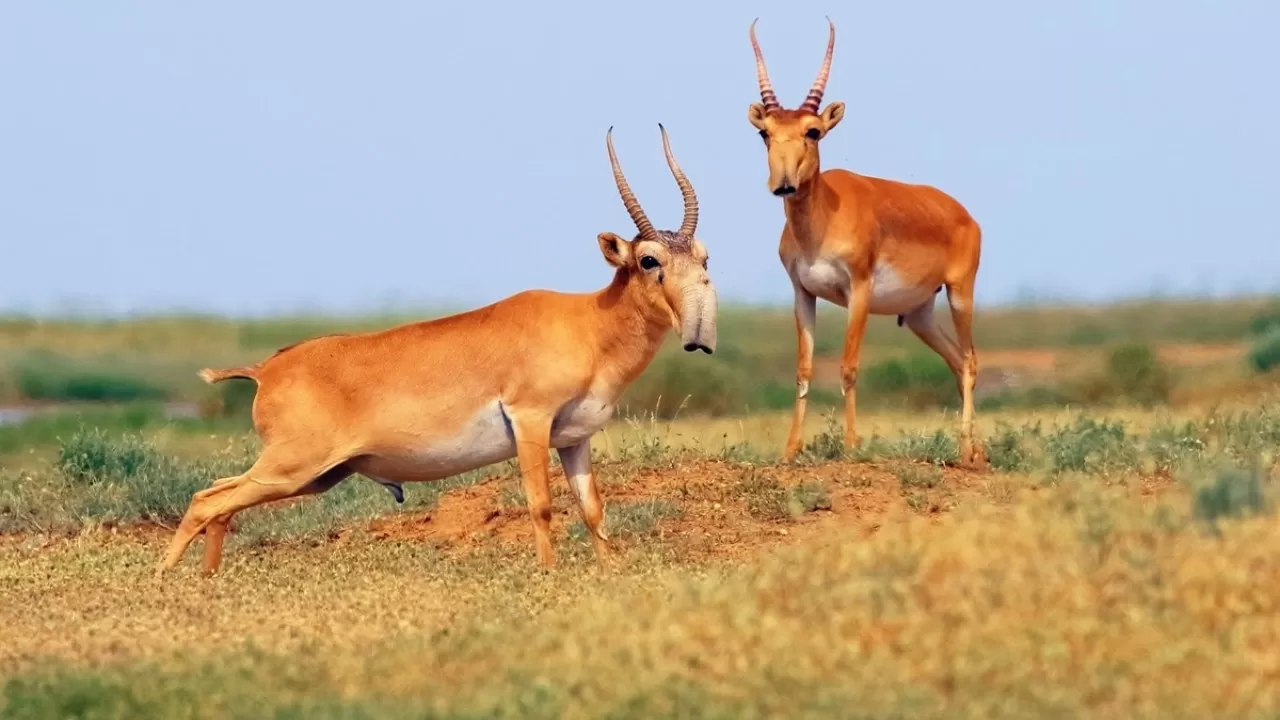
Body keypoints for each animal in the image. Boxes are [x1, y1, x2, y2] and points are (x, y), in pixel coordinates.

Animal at [154, 121, 716, 571]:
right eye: (648, 259)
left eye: (704, 256)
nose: (696, 327)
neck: (590, 324)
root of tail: (266, 369)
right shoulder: (531, 422)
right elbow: (540, 504)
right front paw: (549, 574)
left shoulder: (574, 438)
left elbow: (592, 508)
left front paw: (609, 573)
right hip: (294, 469)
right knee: (205, 500)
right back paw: (166, 582)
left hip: (313, 476)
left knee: (218, 498)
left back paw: (205, 581)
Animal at [747, 19, 988, 468]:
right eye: (764, 133)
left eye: (813, 131)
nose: (783, 184)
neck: (822, 221)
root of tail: (963, 213)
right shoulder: (803, 293)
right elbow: (804, 369)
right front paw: (790, 451)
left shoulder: (858, 291)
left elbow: (848, 365)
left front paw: (851, 446)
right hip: (919, 314)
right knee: (954, 361)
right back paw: (975, 449)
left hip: (960, 294)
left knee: (970, 360)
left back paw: (968, 452)